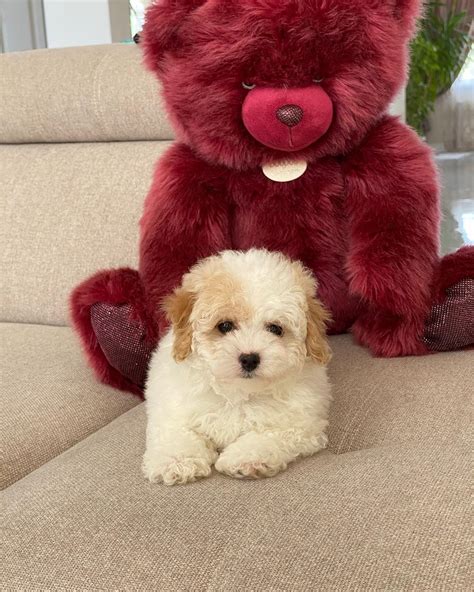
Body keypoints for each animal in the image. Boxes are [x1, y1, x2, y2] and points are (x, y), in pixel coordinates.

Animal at [143, 247, 332, 484]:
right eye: (224, 326)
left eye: (275, 328)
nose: (249, 358)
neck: (238, 393)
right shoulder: (173, 408)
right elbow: (177, 432)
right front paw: (176, 461)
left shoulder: (301, 424)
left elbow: (268, 435)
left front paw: (246, 459)